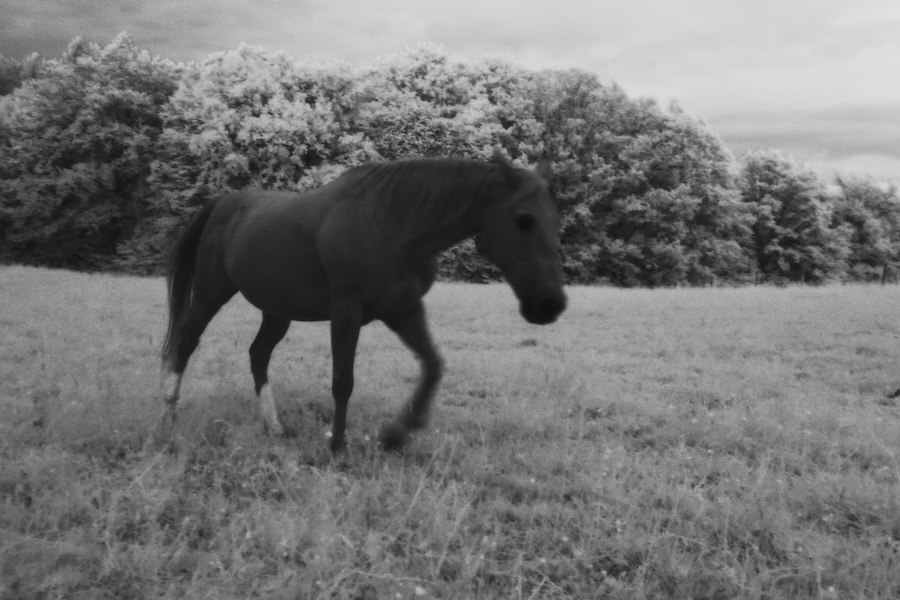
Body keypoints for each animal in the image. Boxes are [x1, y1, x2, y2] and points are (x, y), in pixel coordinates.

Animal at [151, 152, 567, 452]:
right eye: (524, 219)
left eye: (554, 219)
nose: (550, 304)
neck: (393, 224)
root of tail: (224, 203)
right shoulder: (346, 312)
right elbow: (343, 382)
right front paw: (337, 445)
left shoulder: (404, 310)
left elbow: (433, 366)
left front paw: (395, 434)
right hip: (211, 291)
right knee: (186, 340)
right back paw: (167, 420)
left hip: (277, 311)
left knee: (258, 354)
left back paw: (274, 426)